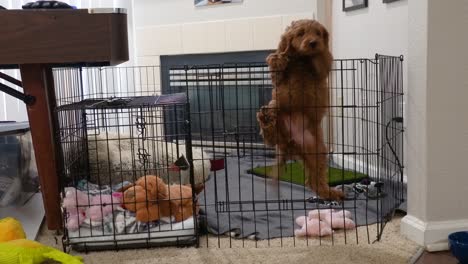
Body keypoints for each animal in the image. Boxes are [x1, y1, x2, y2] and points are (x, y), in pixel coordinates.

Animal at [256, 19, 344, 201]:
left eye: (318, 33)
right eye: (301, 33)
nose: (313, 43)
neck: (302, 60)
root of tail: (290, 144)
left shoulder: (324, 66)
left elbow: (322, 58)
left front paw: (316, 52)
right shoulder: (278, 81)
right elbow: (276, 65)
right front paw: (278, 59)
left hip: (317, 151)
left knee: (315, 179)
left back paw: (330, 193)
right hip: (277, 111)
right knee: (270, 136)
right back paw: (266, 118)